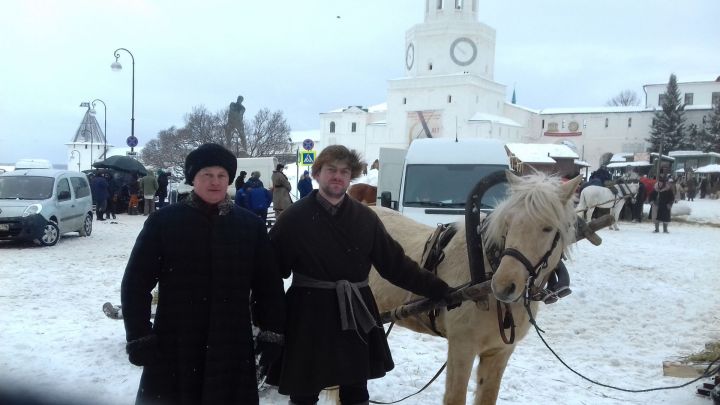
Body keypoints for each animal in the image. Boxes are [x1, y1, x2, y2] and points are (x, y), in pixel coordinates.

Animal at [368, 171, 584, 404]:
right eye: (508, 223)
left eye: (548, 228)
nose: (503, 285)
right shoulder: (462, 347)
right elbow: (455, 397)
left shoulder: (500, 352)